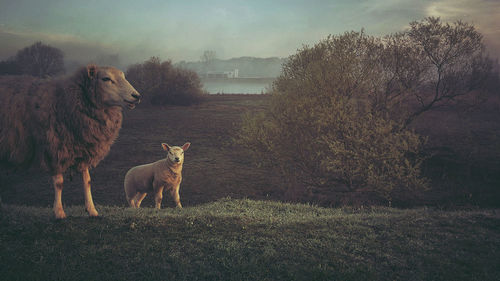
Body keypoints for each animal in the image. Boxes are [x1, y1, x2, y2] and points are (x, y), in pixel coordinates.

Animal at [0, 64, 142, 218]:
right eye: (106, 79)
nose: (136, 96)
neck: (65, 100)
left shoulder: (84, 147)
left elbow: (87, 181)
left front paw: (92, 210)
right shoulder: (55, 148)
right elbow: (59, 183)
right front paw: (59, 212)